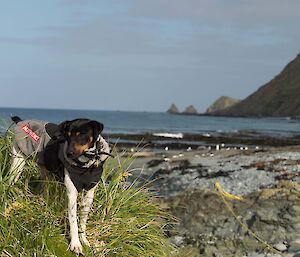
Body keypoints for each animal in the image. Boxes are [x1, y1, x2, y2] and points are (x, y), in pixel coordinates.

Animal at [8, 117, 111, 253]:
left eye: (82, 134)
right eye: (67, 136)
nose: (68, 153)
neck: (86, 163)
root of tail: (20, 121)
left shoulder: (89, 194)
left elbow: (83, 221)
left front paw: (84, 240)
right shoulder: (72, 193)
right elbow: (73, 221)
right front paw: (75, 244)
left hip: (44, 170)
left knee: (43, 187)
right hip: (18, 161)